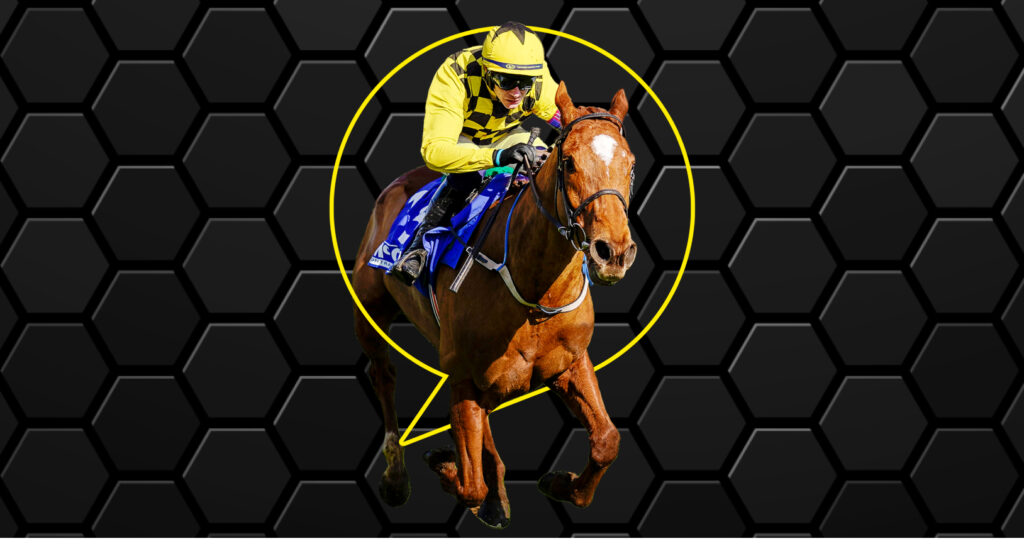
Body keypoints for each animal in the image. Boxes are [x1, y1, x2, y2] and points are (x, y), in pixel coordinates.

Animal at [351, 81, 638, 529]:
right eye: (569, 162)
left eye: (631, 165)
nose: (613, 253)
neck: (536, 294)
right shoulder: (463, 376)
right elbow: (470, 484)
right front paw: (444, 462)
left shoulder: (570, 362)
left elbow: (607, 440)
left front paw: (561, 484)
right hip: (370, 313)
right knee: (384, 376)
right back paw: (397, 478)